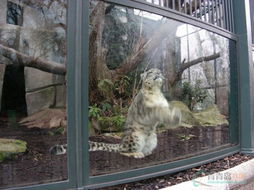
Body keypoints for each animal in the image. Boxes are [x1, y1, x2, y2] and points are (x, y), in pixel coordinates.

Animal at [49, 68, 181, 159]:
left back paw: (147, 152)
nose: (158, 74)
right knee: (124, 151)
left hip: (153, 138)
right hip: (135, 137)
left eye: (159, 71)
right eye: (150, 72)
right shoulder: (146, 110)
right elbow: (156, 110)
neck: (156, 92)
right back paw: (137, 154)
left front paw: (175, 114)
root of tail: (121, 143)